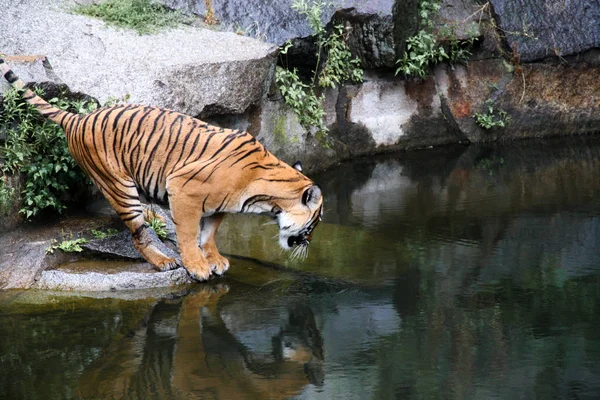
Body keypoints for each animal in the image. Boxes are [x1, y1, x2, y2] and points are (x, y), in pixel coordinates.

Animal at [1, 57, 324, 282]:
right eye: (315, 223)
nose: (309, 243)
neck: (264, 196)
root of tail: (78, 118)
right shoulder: (183, 189)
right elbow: (188, 234)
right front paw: (197, 267)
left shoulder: (218, 207)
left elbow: (209, 233)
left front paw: (215, 260)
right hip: (120, 187)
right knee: (138, 235)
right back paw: (163, 261)